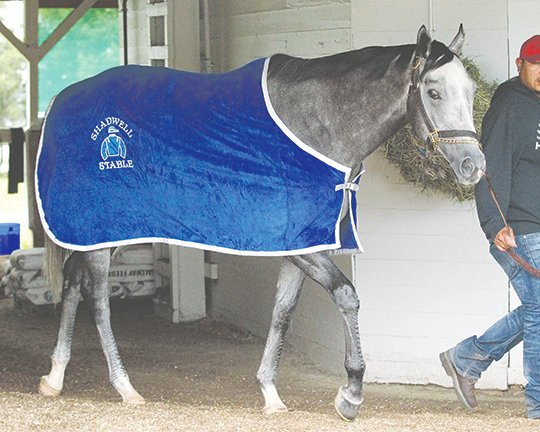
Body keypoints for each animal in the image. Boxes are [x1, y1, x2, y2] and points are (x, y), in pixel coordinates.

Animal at [39, 24, 486, 422]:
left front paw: (270, 393)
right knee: (98, 300)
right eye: (433, 91)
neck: (318, 123)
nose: (473, 166)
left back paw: (55, 377)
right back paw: (124, 386)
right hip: (102, 230)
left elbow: (282, 312)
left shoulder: (301, 246)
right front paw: (351, 393)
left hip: (98, 232)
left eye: (470, 91)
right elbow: (346, 295)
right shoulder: (304, 246)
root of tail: (61, 99)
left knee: (73, 283)